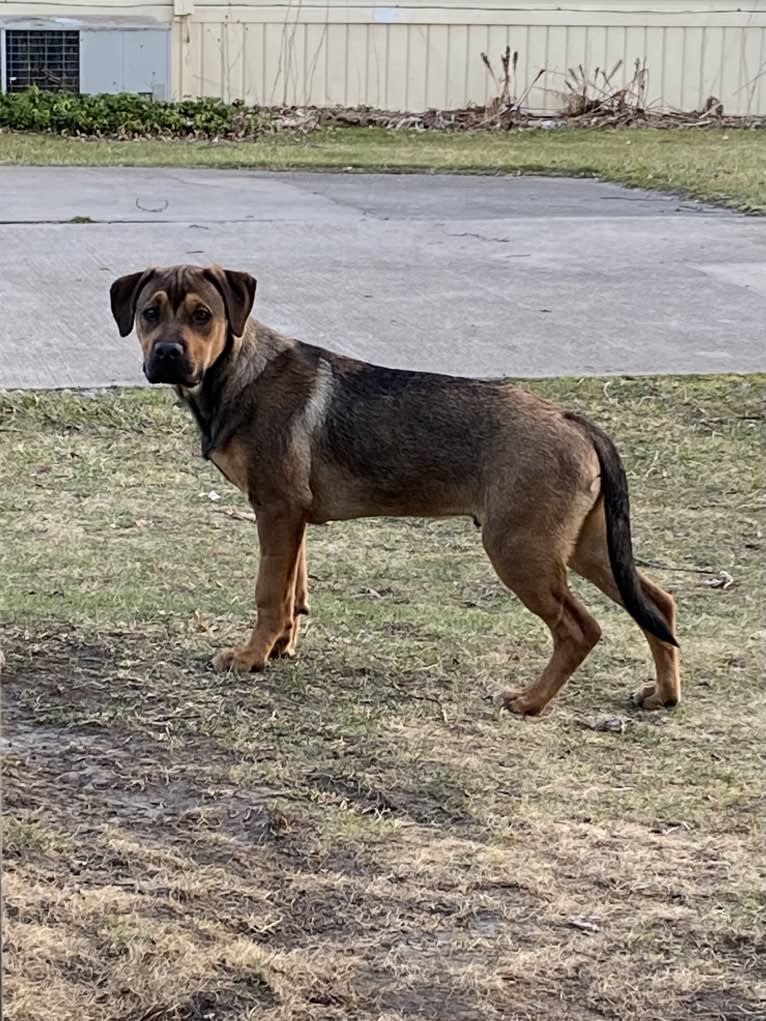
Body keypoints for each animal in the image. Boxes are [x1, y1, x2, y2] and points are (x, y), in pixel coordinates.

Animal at [110, 263, 682, 714]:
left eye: (203, 315)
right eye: (149, 313)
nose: (167, 355)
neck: (234, 374)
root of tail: (575, 420)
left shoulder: (274, 508)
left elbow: (270, 593)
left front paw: (250, 658)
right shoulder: (292, 518)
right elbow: (294, 591)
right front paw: (279, 649)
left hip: (521, 549)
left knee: (581, 629)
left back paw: (529, 701)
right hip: (586, 545)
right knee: (659, 603)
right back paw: (663, 694)